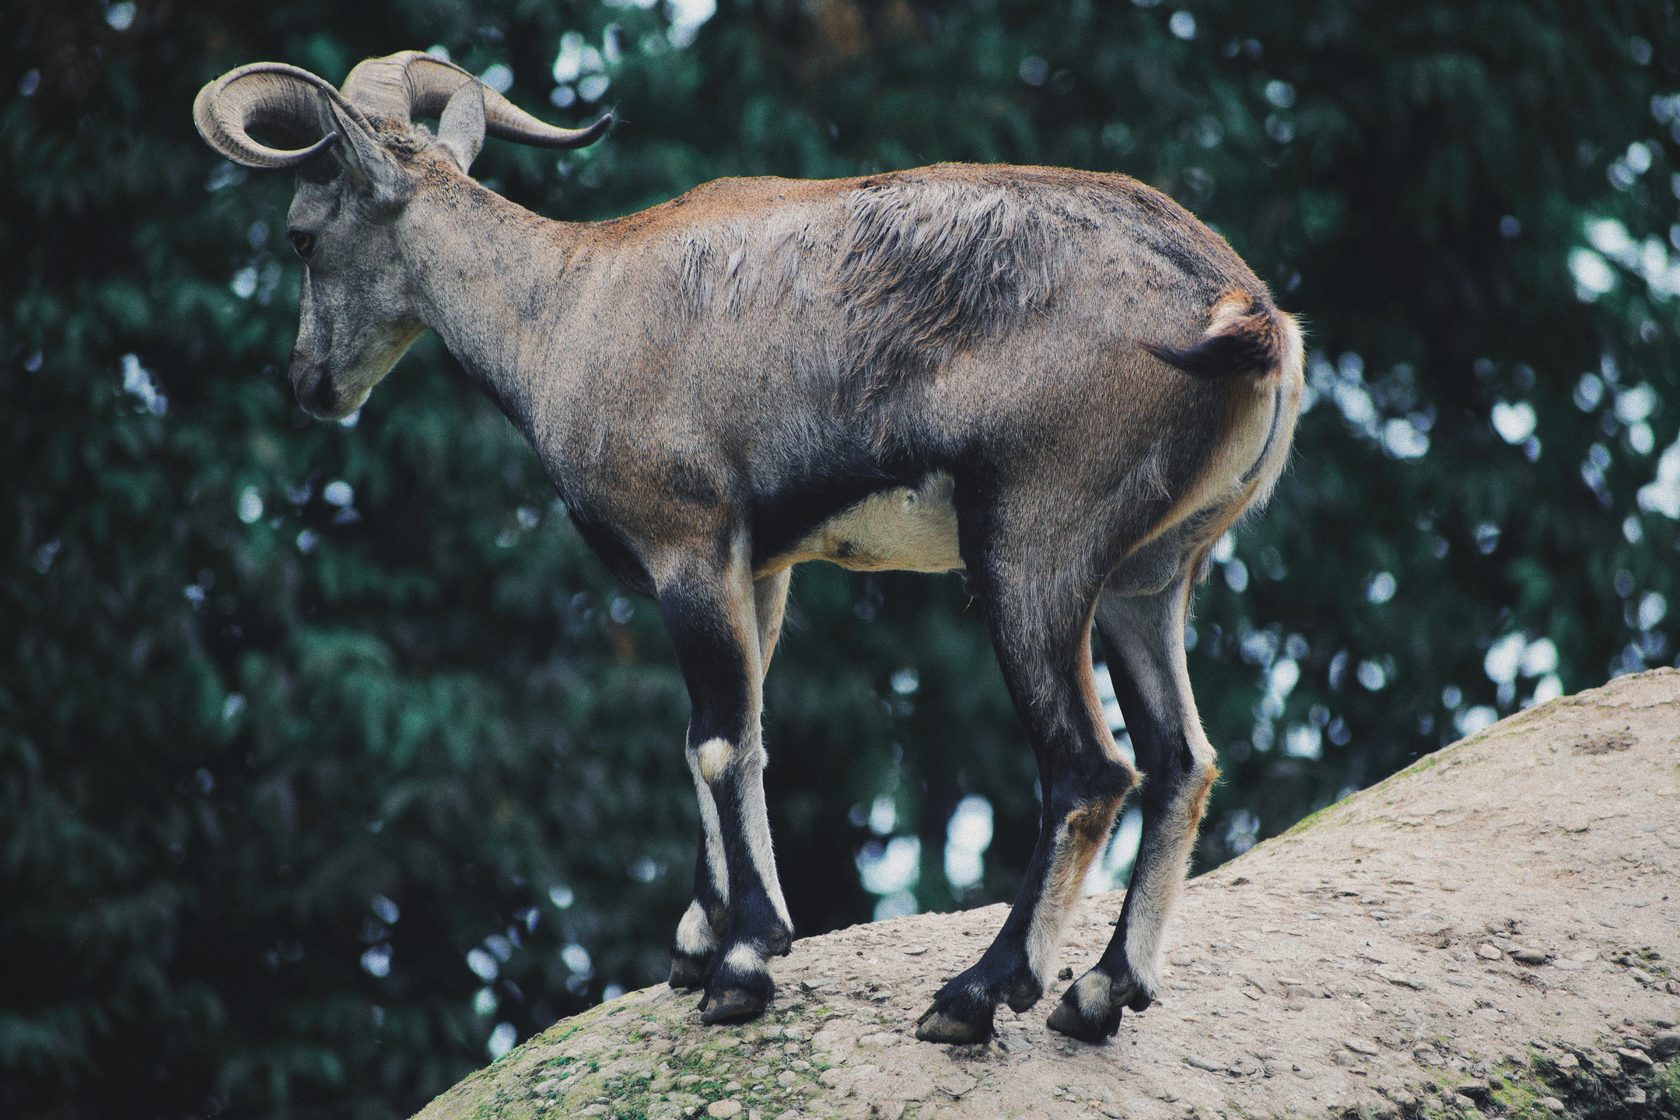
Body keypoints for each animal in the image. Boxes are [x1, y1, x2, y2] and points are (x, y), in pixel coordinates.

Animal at [193, 50, 1296, 1054]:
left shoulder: (686, 545)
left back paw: (978, 992)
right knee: (1182, 759)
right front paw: (697, 941)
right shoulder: (758, 569)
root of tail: (1245, 313)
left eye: (301, 233)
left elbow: (717, 739)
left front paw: (745, 963)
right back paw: (1103, 991)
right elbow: (736, 729)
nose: (310, 382)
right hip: (1150, 578)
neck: (565, 308)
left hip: (1033, 546)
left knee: (1089, 767)